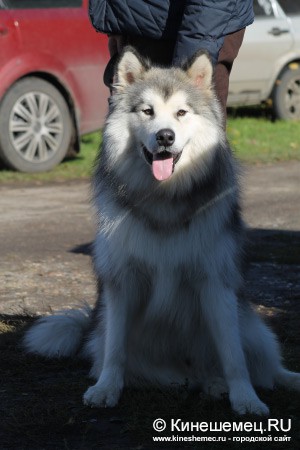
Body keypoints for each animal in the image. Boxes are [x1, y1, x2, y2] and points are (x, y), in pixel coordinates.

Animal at [24, 48, 300, 414]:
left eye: (181, 112)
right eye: (147, 111)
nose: (165, 136)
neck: (164, 196)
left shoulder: (215, 282)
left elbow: (234, 356)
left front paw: (245, 398)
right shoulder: (122, 282)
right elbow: (115, 350)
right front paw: (107, 388)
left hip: (253, 329)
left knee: (265, 367)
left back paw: (254, 381)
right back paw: (205, 384)